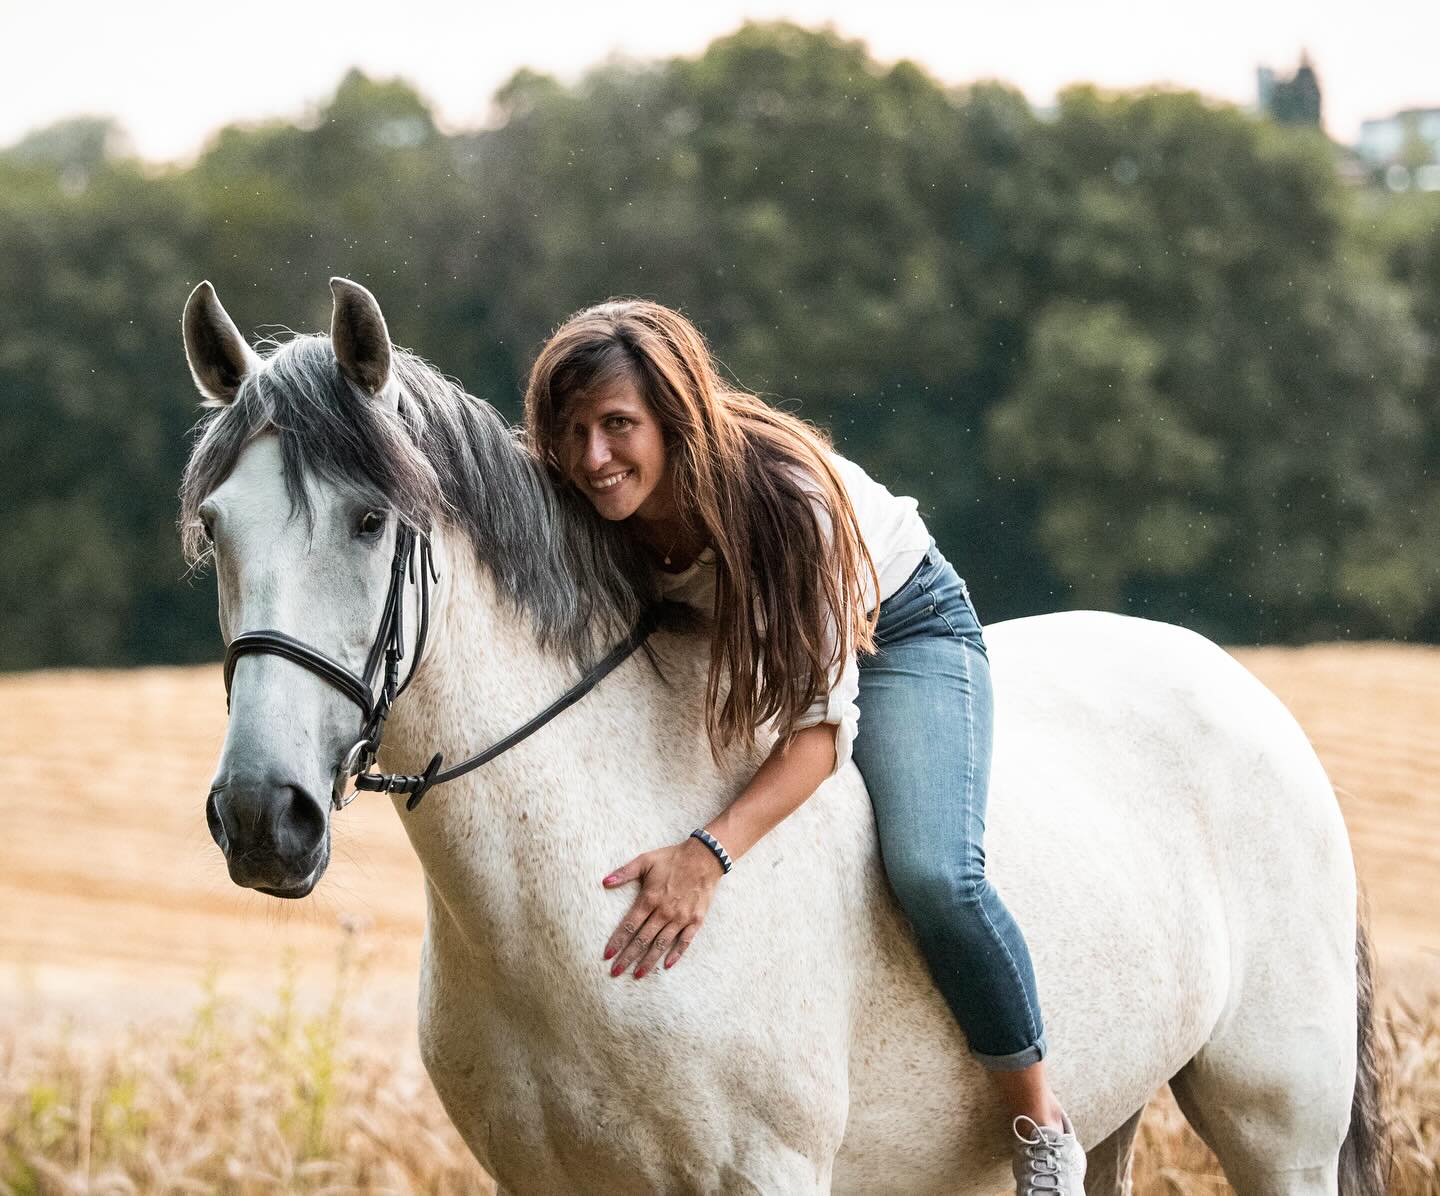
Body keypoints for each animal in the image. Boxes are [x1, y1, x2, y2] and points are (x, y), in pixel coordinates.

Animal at [180, 277, 1384, 1195]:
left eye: (368, 520)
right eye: (215, 527)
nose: (262, 817)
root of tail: (1242, 688)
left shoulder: (766, 1170)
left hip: (1279, 1127)